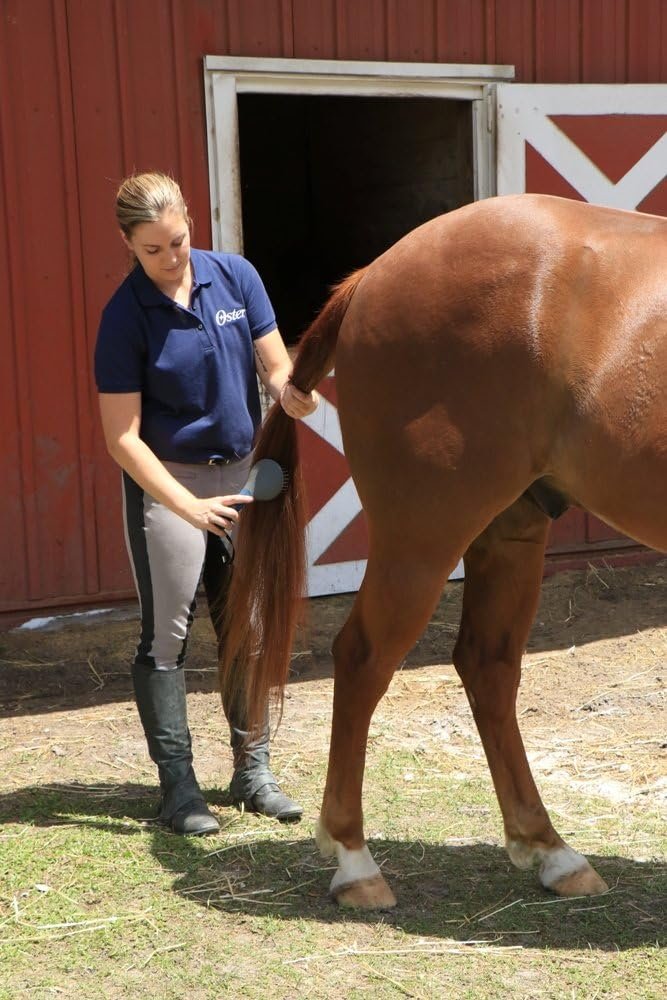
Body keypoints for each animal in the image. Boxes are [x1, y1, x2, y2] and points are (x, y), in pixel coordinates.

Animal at [222, 193, 664, 908]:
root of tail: (375, 273)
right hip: (423, 537)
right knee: (363, 659)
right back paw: (355, 861)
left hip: (510, 533)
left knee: (487, 666)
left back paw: (550, 849)